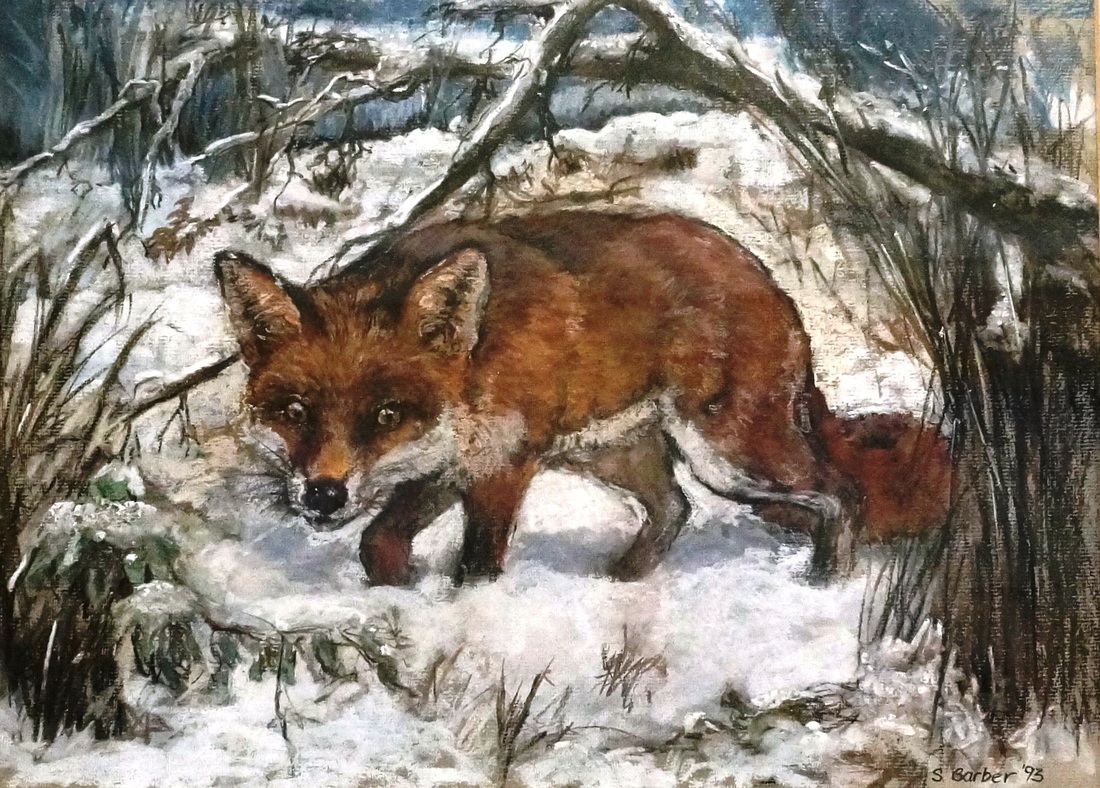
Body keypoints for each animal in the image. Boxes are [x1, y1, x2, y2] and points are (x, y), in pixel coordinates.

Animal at [214, 211, 951, 585]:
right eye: (295, 413)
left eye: (385, 416)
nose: (323, 495)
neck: (474, 368)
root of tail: (761, 273)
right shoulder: (451, 466)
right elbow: (379, 545)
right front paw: (398, 590)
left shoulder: (502, 465)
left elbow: (477, 564)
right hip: (611, 454)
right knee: (675, 508)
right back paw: (622, 581)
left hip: (731, 456)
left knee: (840, 493)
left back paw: (827, 580)